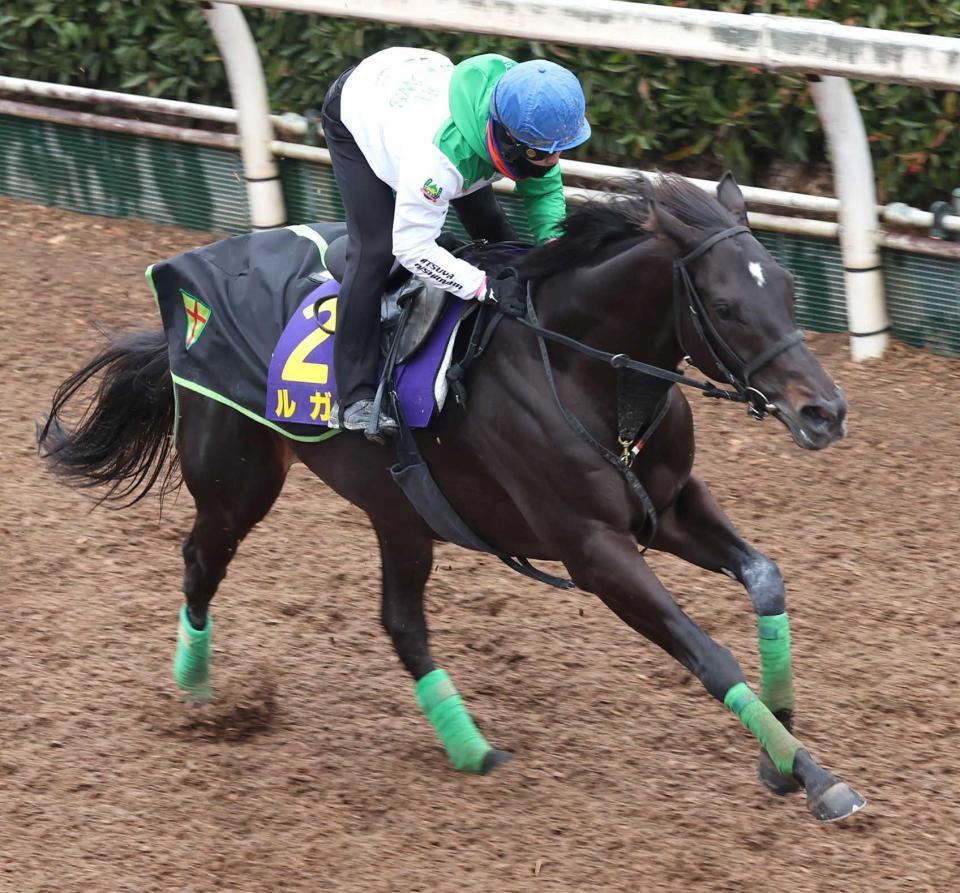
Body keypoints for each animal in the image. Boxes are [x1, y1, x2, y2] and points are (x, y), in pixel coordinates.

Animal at [37, 174, 868, 824]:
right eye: (725, 306)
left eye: (789, 289)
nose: (825, 411)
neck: (580, 369)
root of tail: (188, 281)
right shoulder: (593, 548)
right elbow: (709, 653)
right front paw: (818, 777)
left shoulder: (669, 506)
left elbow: (765, 577)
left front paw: (781, 750)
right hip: (239, 481)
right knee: (201, 560)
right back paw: (198, 688)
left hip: (400, 512)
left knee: (401, 622)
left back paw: (470, 748)